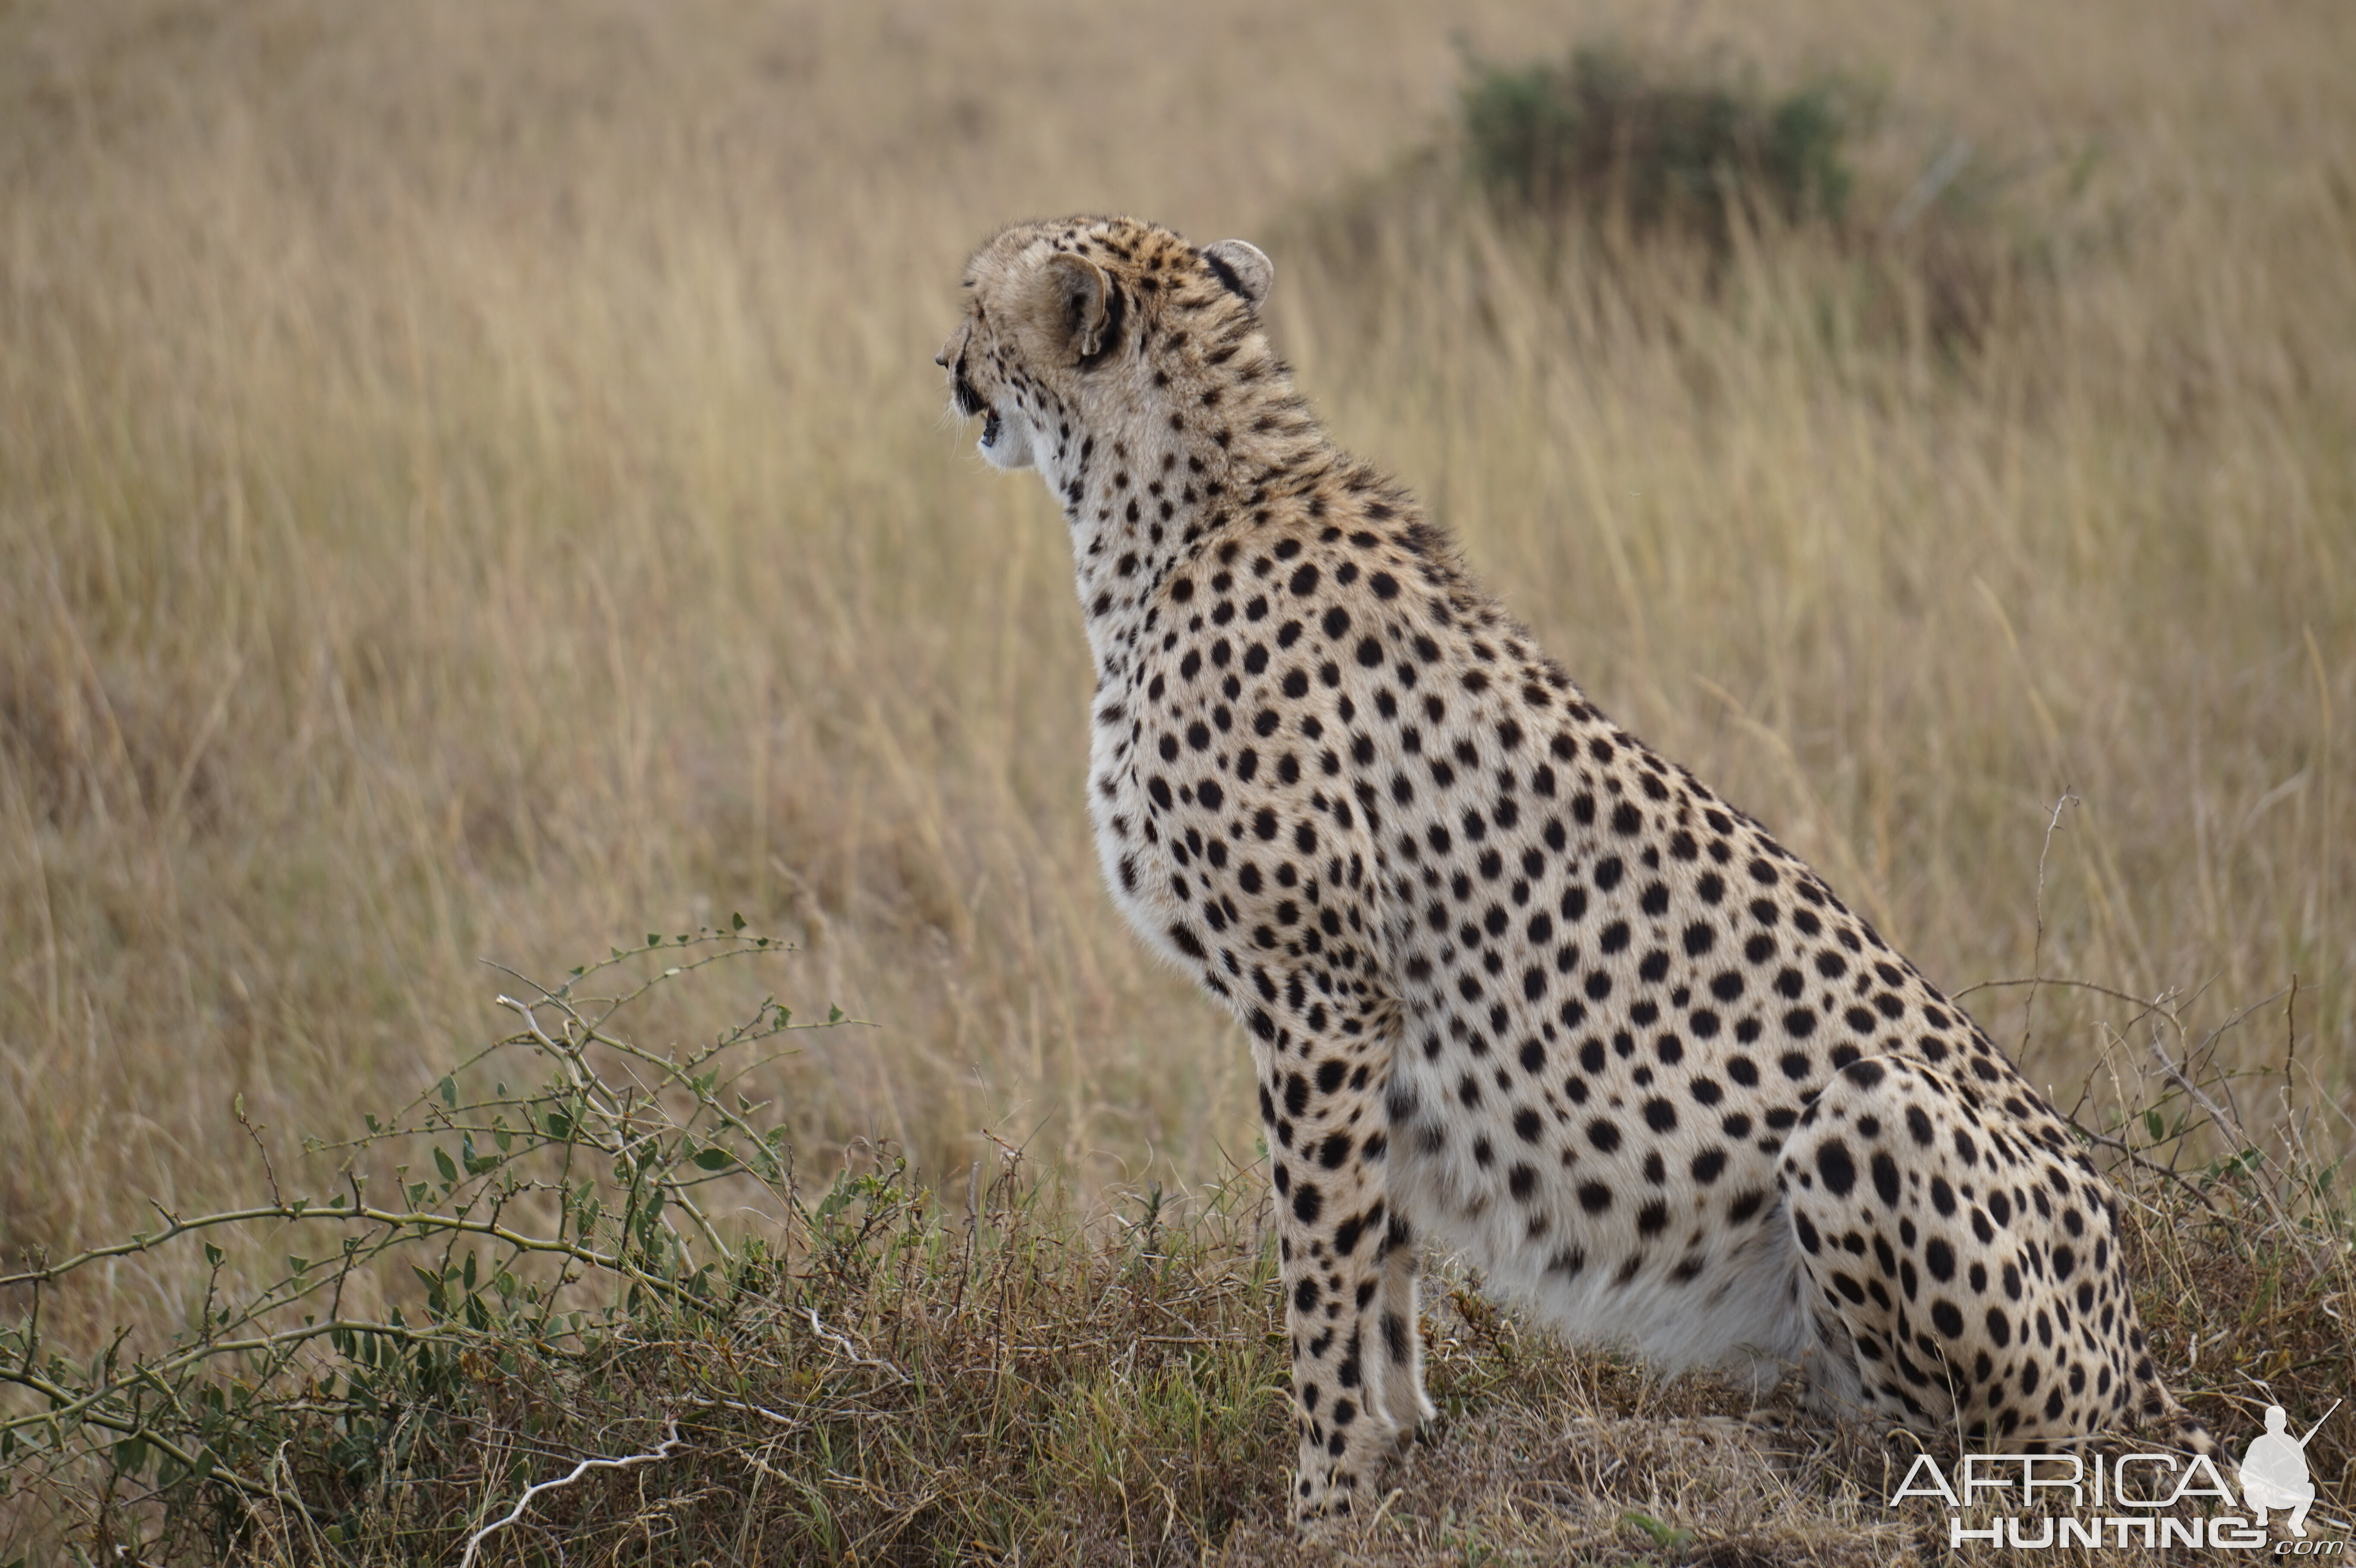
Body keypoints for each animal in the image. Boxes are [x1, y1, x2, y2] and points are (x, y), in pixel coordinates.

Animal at [933, 216, 2205, 1516]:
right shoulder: (1368, 1027)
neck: (1193, 510)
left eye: (976, 305)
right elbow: (1382, 1262)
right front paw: (1401, 1444)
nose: (947, 368)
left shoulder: (1322, 999)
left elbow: (1322, 1275)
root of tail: (2138, 1340)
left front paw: (1325, 1491)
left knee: (1981, 1438)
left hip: (1875, 1114)